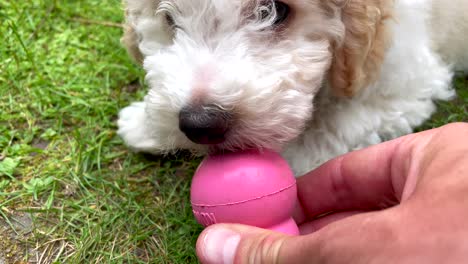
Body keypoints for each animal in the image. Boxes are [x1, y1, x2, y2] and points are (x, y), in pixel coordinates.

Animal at [117, 1, 468, 176]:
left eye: (275, 8)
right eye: (167, 18)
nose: (200, 124)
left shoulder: (406, 85)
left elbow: (336, 124)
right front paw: (146, 126)